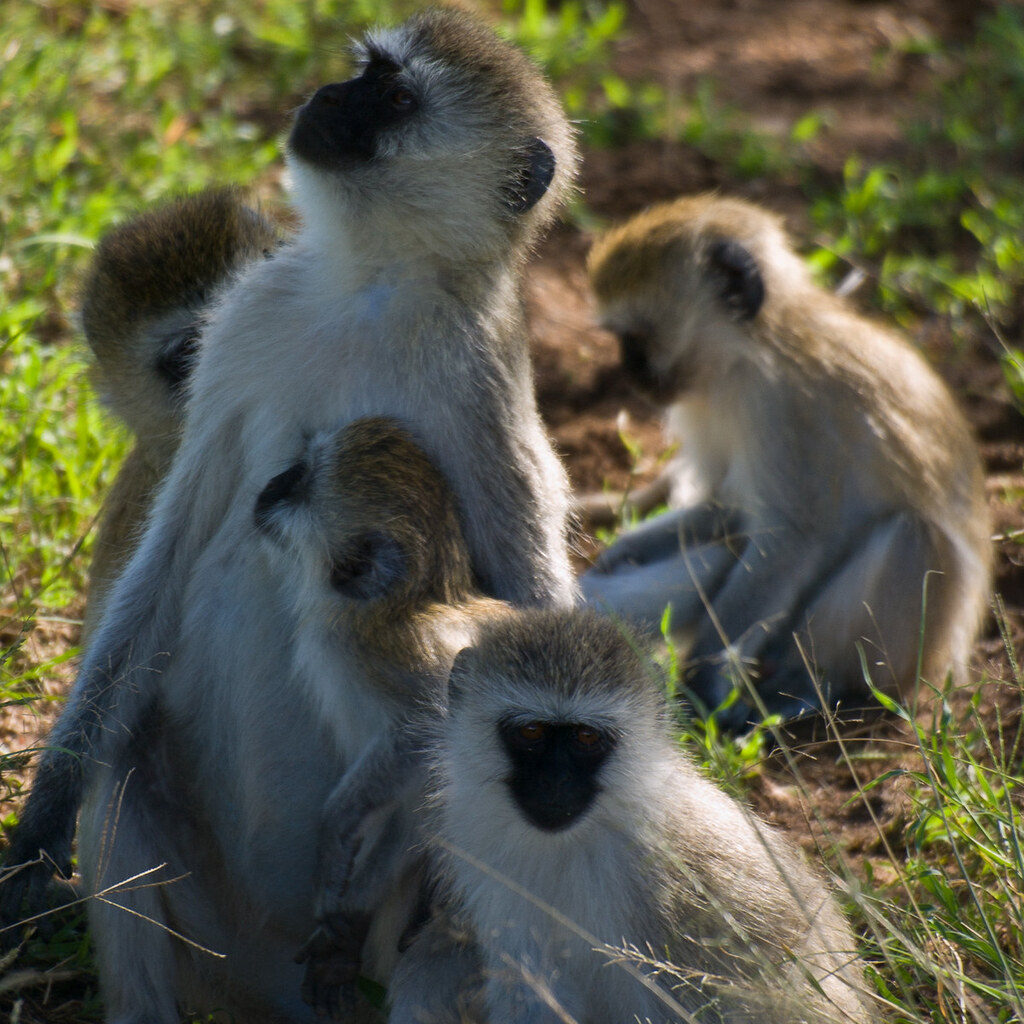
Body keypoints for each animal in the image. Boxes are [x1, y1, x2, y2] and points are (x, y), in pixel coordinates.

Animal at [579, 195, 991, 730]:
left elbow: (791, 538)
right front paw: (623, 548)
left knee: (912, 535)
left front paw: (698, 684)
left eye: (636, 340)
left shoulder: (786, 407)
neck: (750, 350)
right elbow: (729, 509)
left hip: (914, 648)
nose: (628, 374)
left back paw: (810, 687)